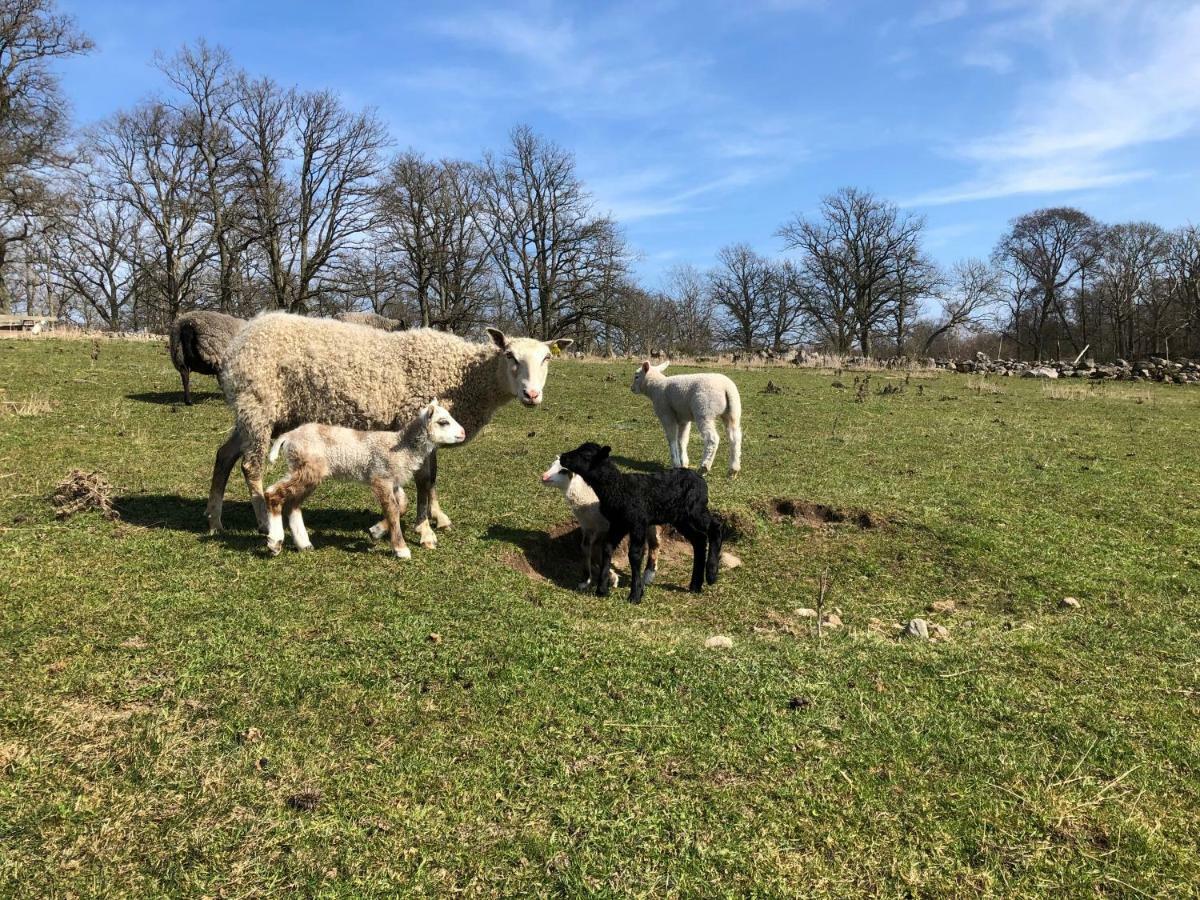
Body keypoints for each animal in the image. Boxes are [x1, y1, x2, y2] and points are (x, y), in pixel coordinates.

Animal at [265, 400, 465, 556]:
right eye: (443, 422)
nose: (463, 433)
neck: (402, 446)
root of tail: (288, 436)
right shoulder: (381, 477)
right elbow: (393, 509)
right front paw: (401, 549)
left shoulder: (393, 482)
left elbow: (401, 505)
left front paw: (376, 531)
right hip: (306, 468)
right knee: (272, 493)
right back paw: (275, 543)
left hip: (308, 472)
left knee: (292, 504)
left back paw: (304, 544)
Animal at [540, 458, 662, 592]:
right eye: (552, 465)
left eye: (563, 470)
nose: (543, 477)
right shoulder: (589, 527)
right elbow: (587, 549)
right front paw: (588, 580)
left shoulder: (606, 528)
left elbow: (598, 550)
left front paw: (611, 578)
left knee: (655, 543)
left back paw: (649, 574)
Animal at [554, 444, 720, 607]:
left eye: (586, 455)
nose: (563, 457)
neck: (618, 489)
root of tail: (700, 479)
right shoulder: (618, 524)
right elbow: (607, 548)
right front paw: (602, 589)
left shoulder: (638, 522)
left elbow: (634, 555)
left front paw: (635, 595)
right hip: (681, 517)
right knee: (699, 539)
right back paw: (695, 585)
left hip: (695, 509)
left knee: (715, 526)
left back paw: (711, 574)